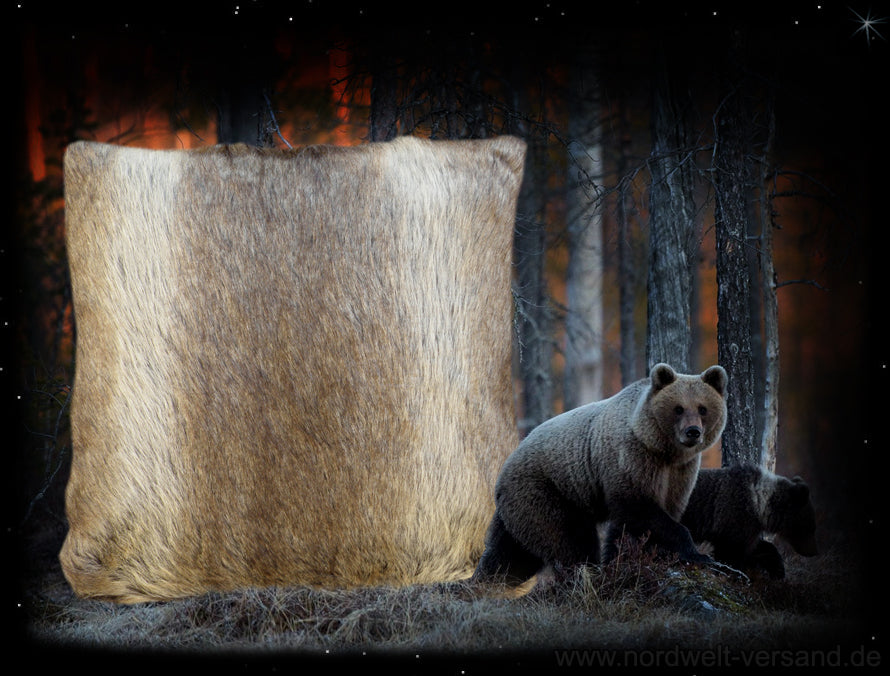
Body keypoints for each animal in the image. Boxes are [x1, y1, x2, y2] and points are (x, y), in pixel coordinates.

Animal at [472, 362, 728, 585]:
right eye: (678, 408)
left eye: (703, 408)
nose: (692, 432)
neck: (662, 449)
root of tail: (504, 468)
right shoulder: (630, 459)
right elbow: (639, 509)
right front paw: (697, 554)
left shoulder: (680, 472)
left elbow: (647, 519)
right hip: (545, 491)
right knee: (568, 540)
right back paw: (583, 574)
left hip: (522, 508)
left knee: (510, 554)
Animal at [681, 464, 818, 579]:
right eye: (811, 526)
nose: (813, 551)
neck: (759, 505)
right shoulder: (735, 517)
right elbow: (731, 553)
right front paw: (733, 573)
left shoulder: (748, 527)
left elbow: (756, 547)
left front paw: (777, 569)